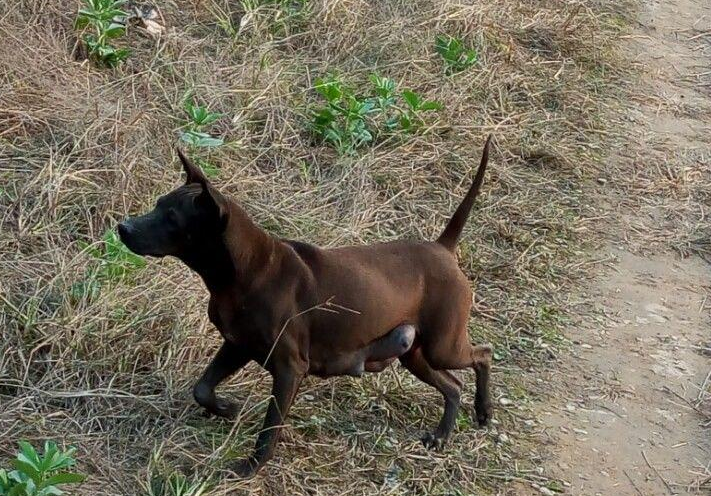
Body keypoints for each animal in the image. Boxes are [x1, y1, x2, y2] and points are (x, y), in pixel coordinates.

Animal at [118, 136, 496, 476]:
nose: (123, 226)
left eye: (171, 218)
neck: (245, 271)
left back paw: (484, 411)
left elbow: (269, 428)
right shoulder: (237, 345)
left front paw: (250, 468)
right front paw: (226, 408)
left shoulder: (289, 368)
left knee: (483, 355)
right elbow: (202, 389)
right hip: (416, 355)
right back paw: (443, 435)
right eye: (157, 203)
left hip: (443, 346)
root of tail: (442, 248)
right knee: (453, 386)